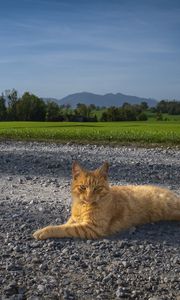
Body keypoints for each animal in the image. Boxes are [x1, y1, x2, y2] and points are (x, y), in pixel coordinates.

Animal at [32, 161, 180, 240]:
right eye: (83, 187)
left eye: (97, 188)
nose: (89, 196)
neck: (82, 206)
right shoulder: (74, 220)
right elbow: (64, 225)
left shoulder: (91, 228)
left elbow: (63, 229)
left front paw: (43, 231)